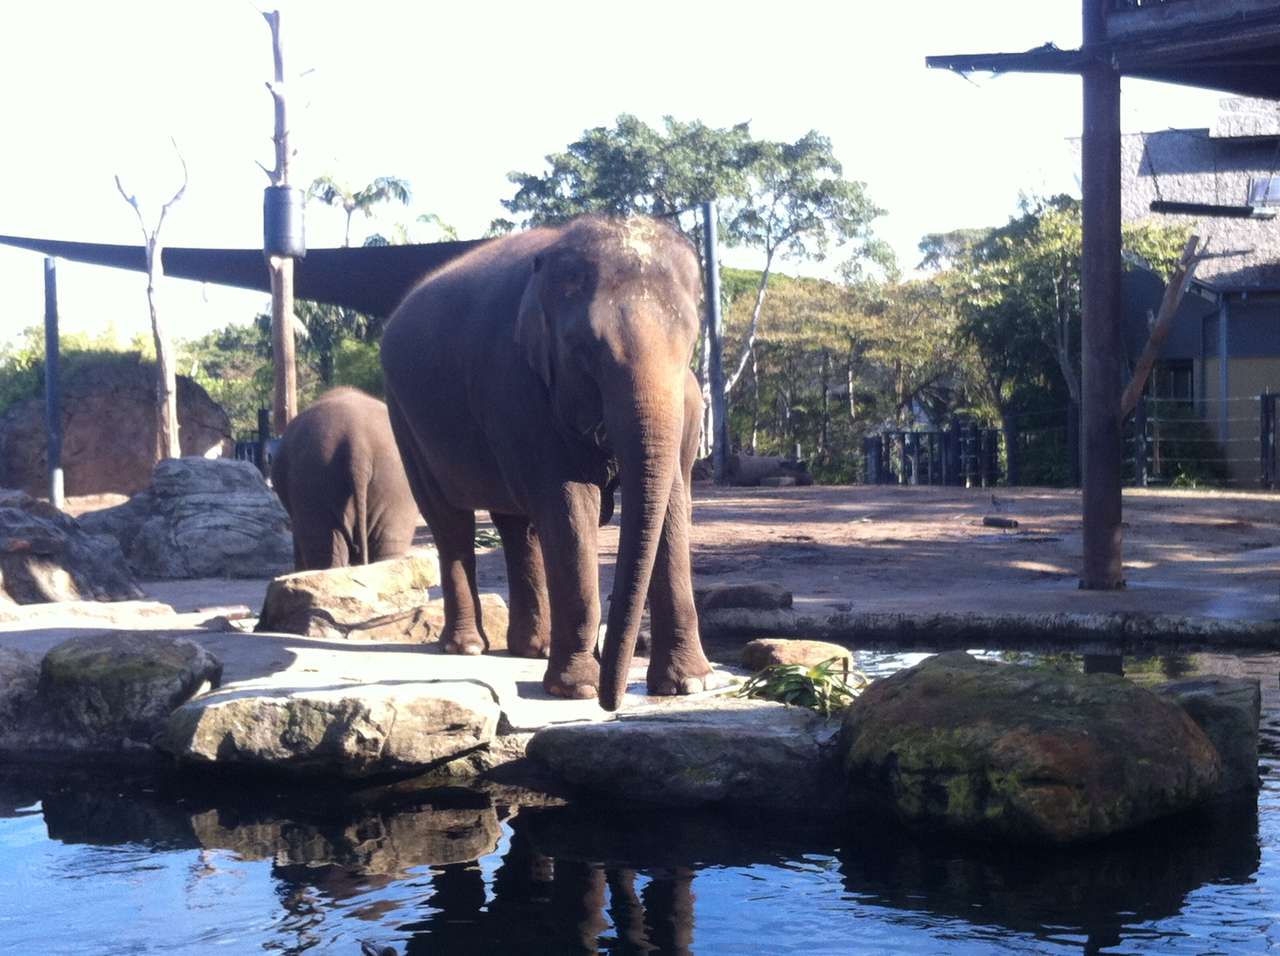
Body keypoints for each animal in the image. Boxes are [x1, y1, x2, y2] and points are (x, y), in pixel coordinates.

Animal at [378, 216, 721, 711]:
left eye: (691, 341)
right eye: (583, 349)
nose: (612, 702)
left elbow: (672, 503)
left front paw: (691, 685)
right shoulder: (516, 387)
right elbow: (569, 505)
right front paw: (577, 690)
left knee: (517, 526)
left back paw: (531, 648)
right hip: (403, 418)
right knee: (450, 522)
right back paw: (468, 647)